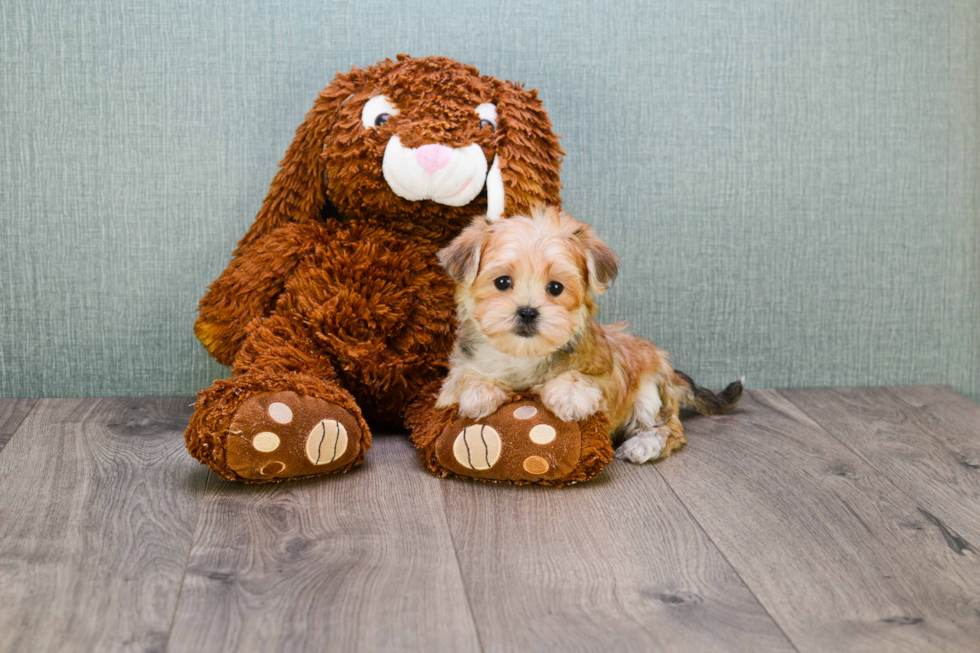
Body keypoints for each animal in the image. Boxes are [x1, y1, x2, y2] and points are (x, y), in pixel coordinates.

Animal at [436, 205, 744, 464]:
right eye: (502, 282)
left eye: (556, 287)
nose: (527, 312)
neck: (523, 354)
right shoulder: (454, 374)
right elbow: (462, 377)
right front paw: (478, 390)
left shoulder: (608, 377)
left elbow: (582, 379)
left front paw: (570, 394)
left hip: (649, 391)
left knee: (669, 428)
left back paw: (642, 445)